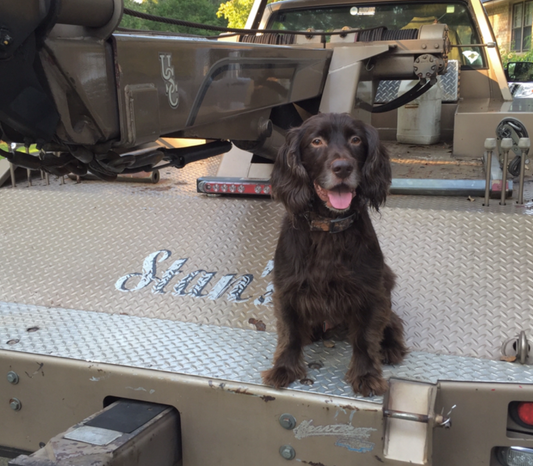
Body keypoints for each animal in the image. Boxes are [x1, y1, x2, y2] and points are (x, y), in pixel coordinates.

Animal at [260, 113, 406, 396]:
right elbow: (290, 334)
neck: (329, 226)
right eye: (316, 141)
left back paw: (390, 346)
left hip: (386, 281)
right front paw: (283, 368)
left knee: (392, 320)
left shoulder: (371, 293)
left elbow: (365, 339)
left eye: (356, 139)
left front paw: (366, 374)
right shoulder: (287, 290)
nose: (343, 168)